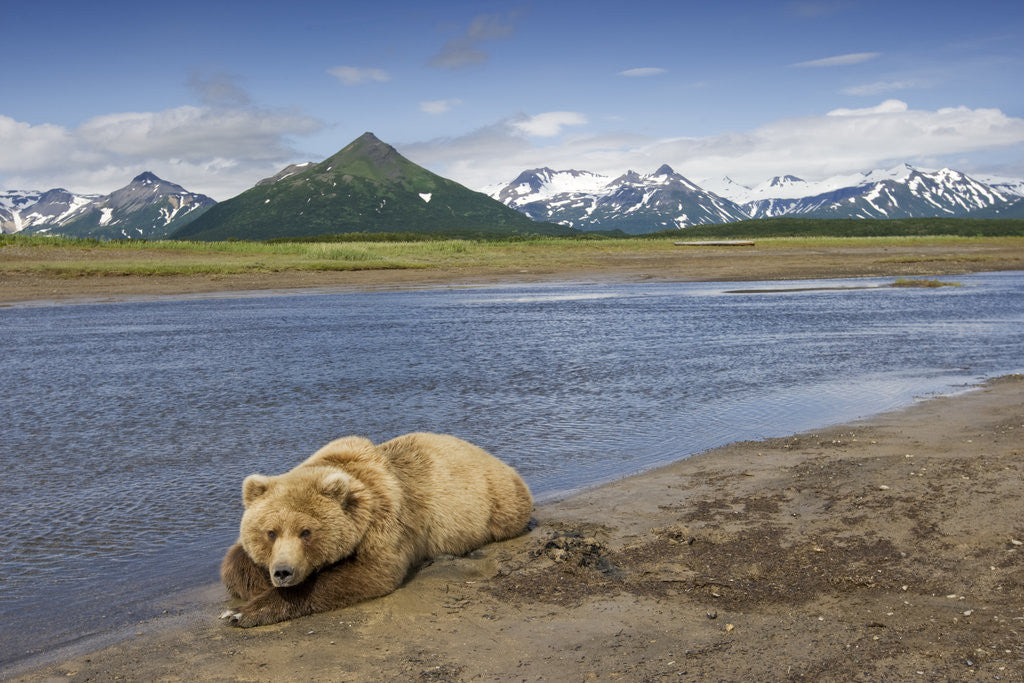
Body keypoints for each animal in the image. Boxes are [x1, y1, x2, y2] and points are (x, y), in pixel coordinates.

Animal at [220, 432, 533, 627]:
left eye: (306, 532)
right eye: (271, 532)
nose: (283, 572)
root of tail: (498, 460)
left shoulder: (384, 518)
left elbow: (371, 573)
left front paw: (239, 613)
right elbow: (234, 561)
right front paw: (255, 586)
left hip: (497, 503)